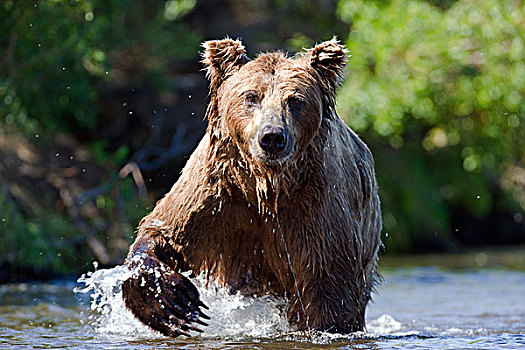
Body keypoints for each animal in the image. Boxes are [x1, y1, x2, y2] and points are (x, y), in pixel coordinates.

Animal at [122, 37, 380, 336]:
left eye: (295, 100)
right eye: (251, 96)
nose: (272, 137)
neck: (265, 186)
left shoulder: (318, 207)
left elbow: (329, 288)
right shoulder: (215, 192)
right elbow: (166, 230)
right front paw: (169, 301)